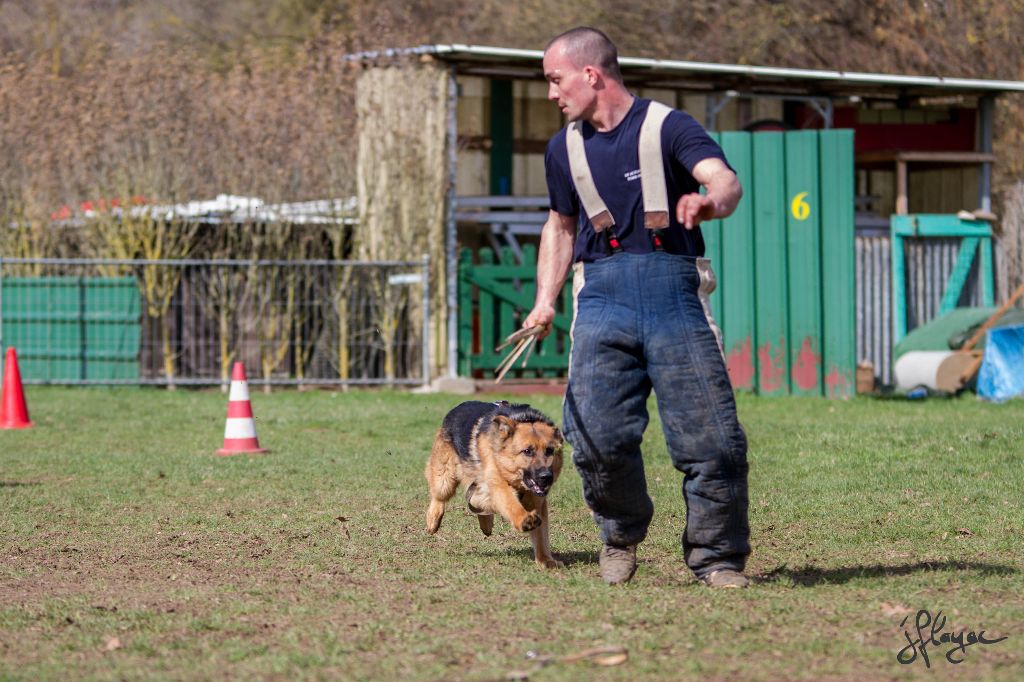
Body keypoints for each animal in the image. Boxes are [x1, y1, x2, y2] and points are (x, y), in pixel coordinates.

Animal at [423, 399, 569, 569]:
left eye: (549, 451)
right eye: (527, 451)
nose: (546, 477)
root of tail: (458, 406)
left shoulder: (536, 500)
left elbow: (541, 535)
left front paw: (545, 560)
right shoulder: (499, 484)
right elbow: (510, 504)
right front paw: (523, 519)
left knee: (477, 501)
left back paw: (486, 523)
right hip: (445, 478)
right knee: (439, 496)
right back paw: (433, 520)